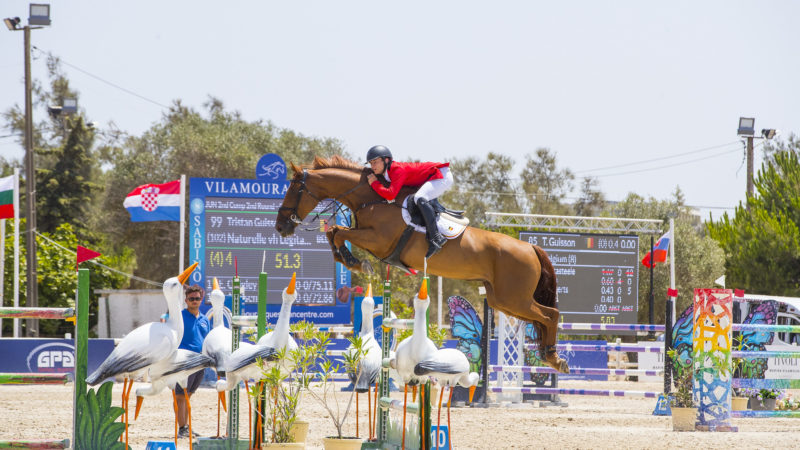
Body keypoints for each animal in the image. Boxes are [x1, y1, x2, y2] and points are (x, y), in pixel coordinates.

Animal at [276, 155, 568, 372]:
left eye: (294, 189)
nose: (280, 227)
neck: (372, 198)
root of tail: (530, 247)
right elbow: (334, 233)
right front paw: (349, 260)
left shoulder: (377, 239)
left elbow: (338, 232)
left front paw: (356, 263)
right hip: (503, 300)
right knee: (542, 318)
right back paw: (549, 356)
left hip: (515, 298)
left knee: (551, 315)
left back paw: (555, 359)